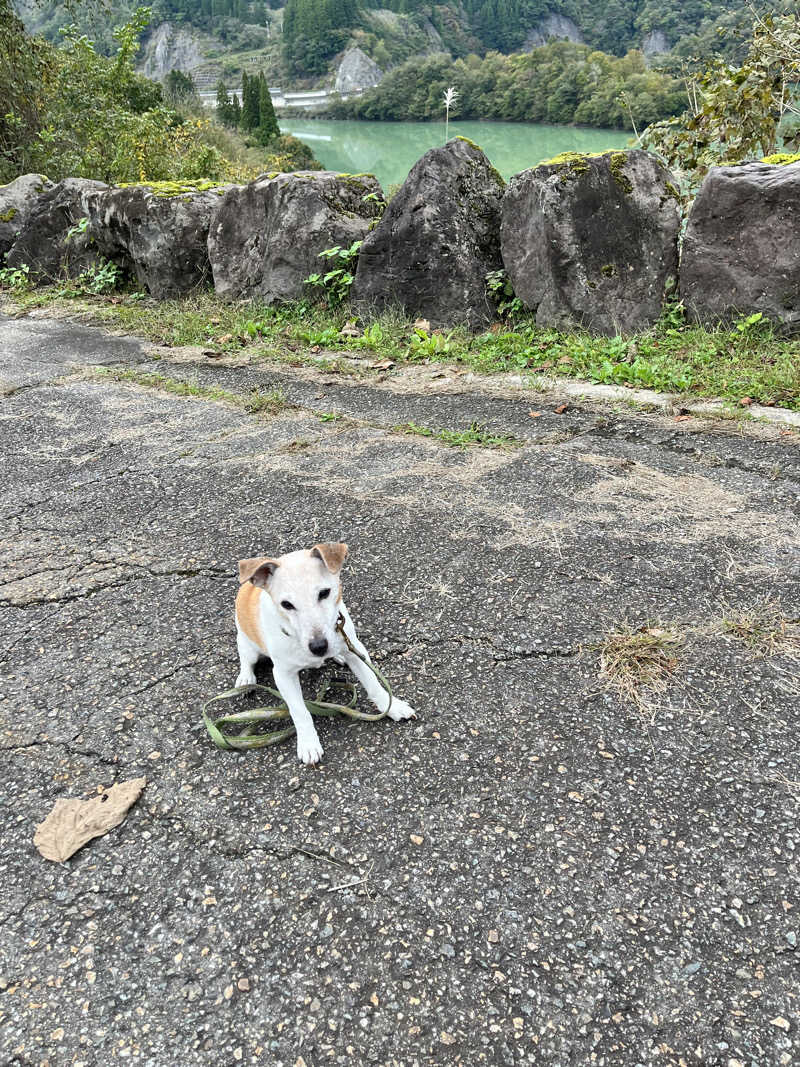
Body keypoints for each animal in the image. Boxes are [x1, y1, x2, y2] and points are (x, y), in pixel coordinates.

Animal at [234, 542, 416, 768]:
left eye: (324, 593)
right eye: (286, 604)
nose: (319, 647)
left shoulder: (354, 648)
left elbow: (373, 684)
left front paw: (391, 707)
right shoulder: (283, 675)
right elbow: (300, 711)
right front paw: (308, 743)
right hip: (247, 644)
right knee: (246, 659)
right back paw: (245, 679)